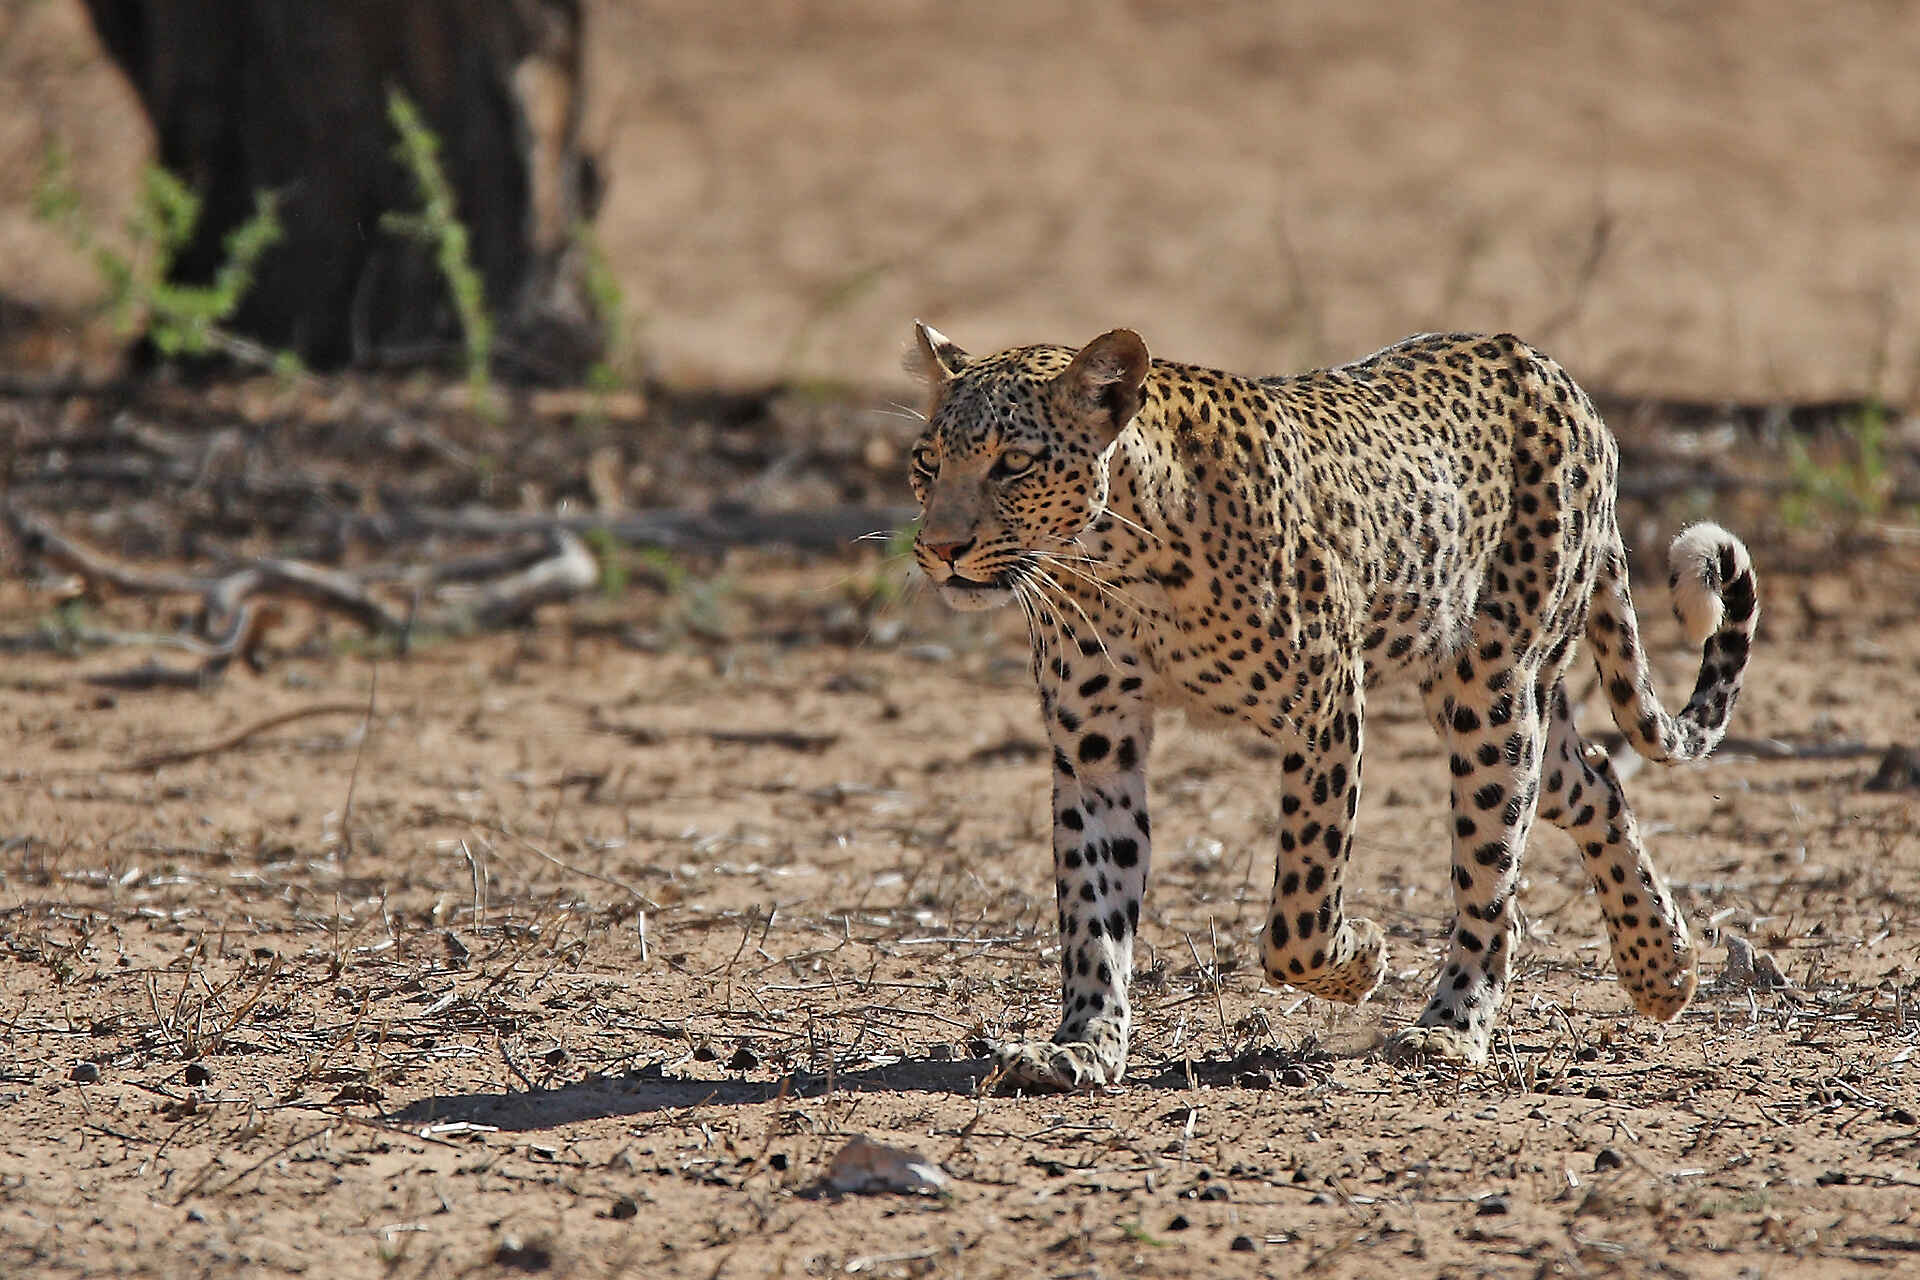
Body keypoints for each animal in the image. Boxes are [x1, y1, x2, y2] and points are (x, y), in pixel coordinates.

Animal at [904, 322, 1758, 1089]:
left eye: (1014, 464)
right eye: (927, 463)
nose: (940, 549)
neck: (1115, 566)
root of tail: (1558, 376)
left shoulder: (1326, 702)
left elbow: (1300, 909)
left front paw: (1362, 956)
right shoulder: (1094, 747)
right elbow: (1093, 903)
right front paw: (1082, 1044)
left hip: (1493, 690)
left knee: (1493, 879)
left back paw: (1454, 1027)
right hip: (1504, 706)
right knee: (1595, 778)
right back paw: (1663, 968)